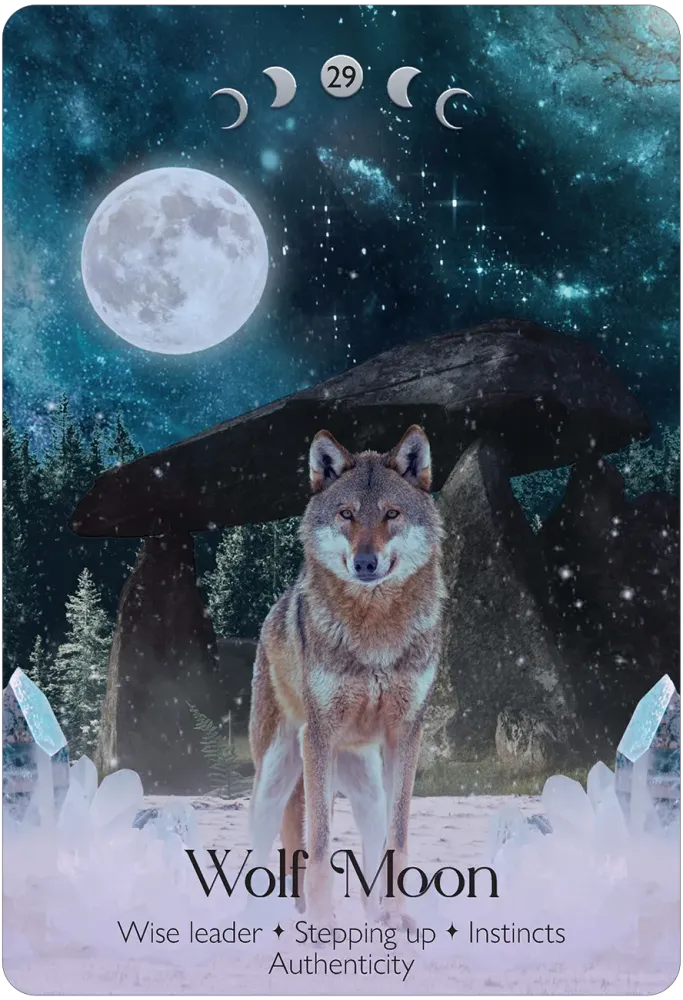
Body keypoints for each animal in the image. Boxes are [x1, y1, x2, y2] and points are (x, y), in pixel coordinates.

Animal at [248, 425, 446, 924]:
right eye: (347, 514)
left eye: (391, 514)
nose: (365, 563)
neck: (373, 637)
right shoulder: (319, 736)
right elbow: (318, 847)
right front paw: (322, 924)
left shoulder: (406, 736)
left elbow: (398, 839)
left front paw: (395, 920)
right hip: (277, 776)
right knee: (260, 851)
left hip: (368, 790)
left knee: (370, 849)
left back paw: (377, 915)